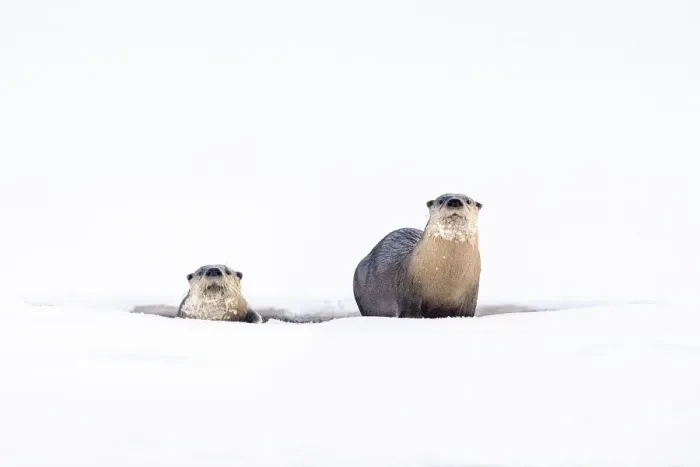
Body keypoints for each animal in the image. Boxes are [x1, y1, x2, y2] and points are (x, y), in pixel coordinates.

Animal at [352, 193, 483, 318]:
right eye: (440, 201)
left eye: (468, 201)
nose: (454, 201)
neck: (448, 276)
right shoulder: (410, 288)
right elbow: (410, 308)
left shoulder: (470, 294)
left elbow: (467, 312)